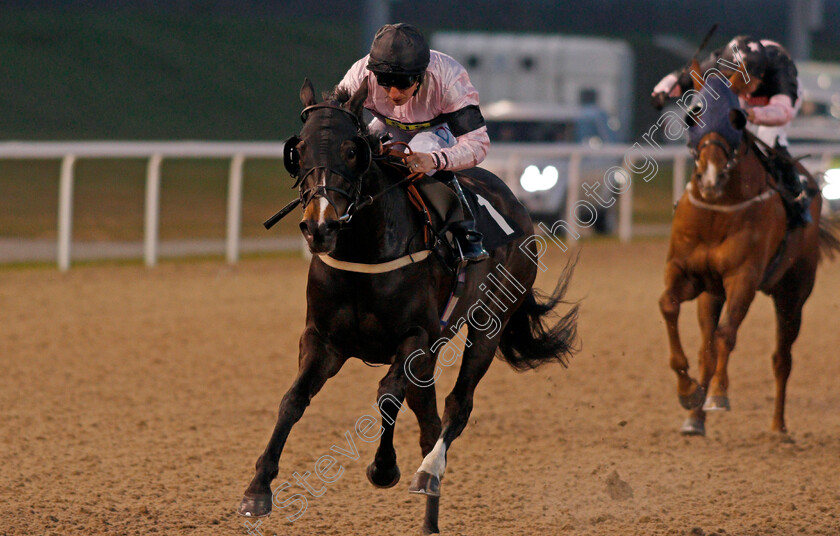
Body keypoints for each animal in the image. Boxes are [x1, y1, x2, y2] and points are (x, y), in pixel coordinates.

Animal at [236, 78, 576, 532]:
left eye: (351, 150)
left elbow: (386, 396)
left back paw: (429, 472)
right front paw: (258, 490)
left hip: (489, 321)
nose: (319, 226)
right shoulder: (323, 340)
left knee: (457, 406)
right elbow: (292, 400)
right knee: (429, 418)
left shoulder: (415, 338)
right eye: (300, 150)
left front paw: (384, 468)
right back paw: (429, 517)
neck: (365, 252)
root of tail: (516, 205)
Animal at [664, 75, 840, 436]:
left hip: (793, 295)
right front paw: (688, 392)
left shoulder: (743, 277)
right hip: (712, 294)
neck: (717, 210)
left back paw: (778, 427)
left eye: (737, 119)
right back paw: (695, 418)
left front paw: (717, 395)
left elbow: (726, 336)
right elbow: (670, 307)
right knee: (706, 347)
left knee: (781, 358)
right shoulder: (685, 273)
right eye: (693, 115)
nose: (711, 174)